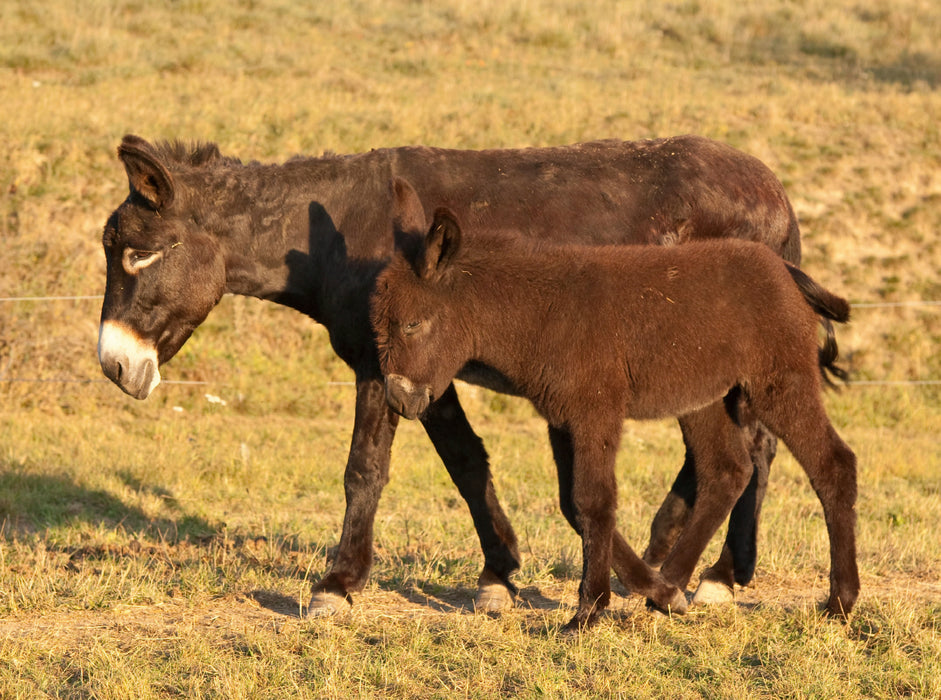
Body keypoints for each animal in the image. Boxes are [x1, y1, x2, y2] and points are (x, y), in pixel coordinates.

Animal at [98, 134, 801, 614]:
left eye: (138, 255)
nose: (112, 365)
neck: (336, 237)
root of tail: (774, 186)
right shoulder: (419, 372)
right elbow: (465, 462)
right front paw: (498, 574)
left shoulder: (380, 364)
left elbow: (364, 470)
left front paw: (338, 585)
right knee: (738, 452)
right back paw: (676, 560)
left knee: (753, 450)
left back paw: (711, 576)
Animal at [371, 205, 858, 630]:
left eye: (412, 325)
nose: (399, 401)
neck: (542, 311)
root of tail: (784, 269)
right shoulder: (561, 419)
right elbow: (572, 504)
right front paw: (654, 591)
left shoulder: (595, 411)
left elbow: (593, 500)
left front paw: (587, 612)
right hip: (705, 398)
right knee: (728, 471)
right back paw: (671, 588)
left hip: (780, 382)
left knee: (832, 463)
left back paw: (840, 602)